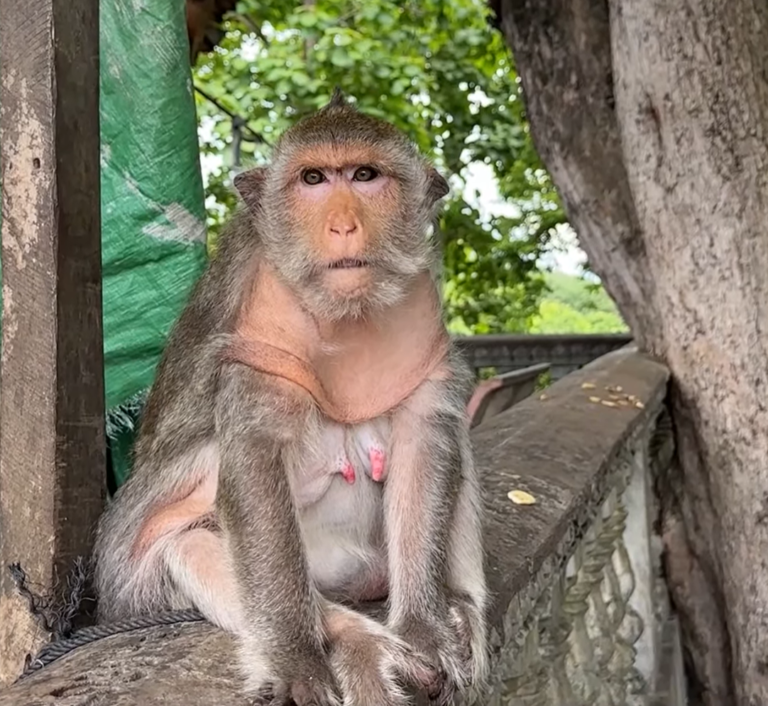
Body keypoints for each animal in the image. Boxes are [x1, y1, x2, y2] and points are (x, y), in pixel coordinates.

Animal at [93, 90, 488, 706]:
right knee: (190, 541)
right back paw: (353, 639)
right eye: (313, 179)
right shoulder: (262, 333)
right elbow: (254, 461)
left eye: (365, 176)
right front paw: (298, 657)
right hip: (144, 582)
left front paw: (426, 627)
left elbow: (426, 436)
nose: (344, 225)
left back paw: (460, 608)